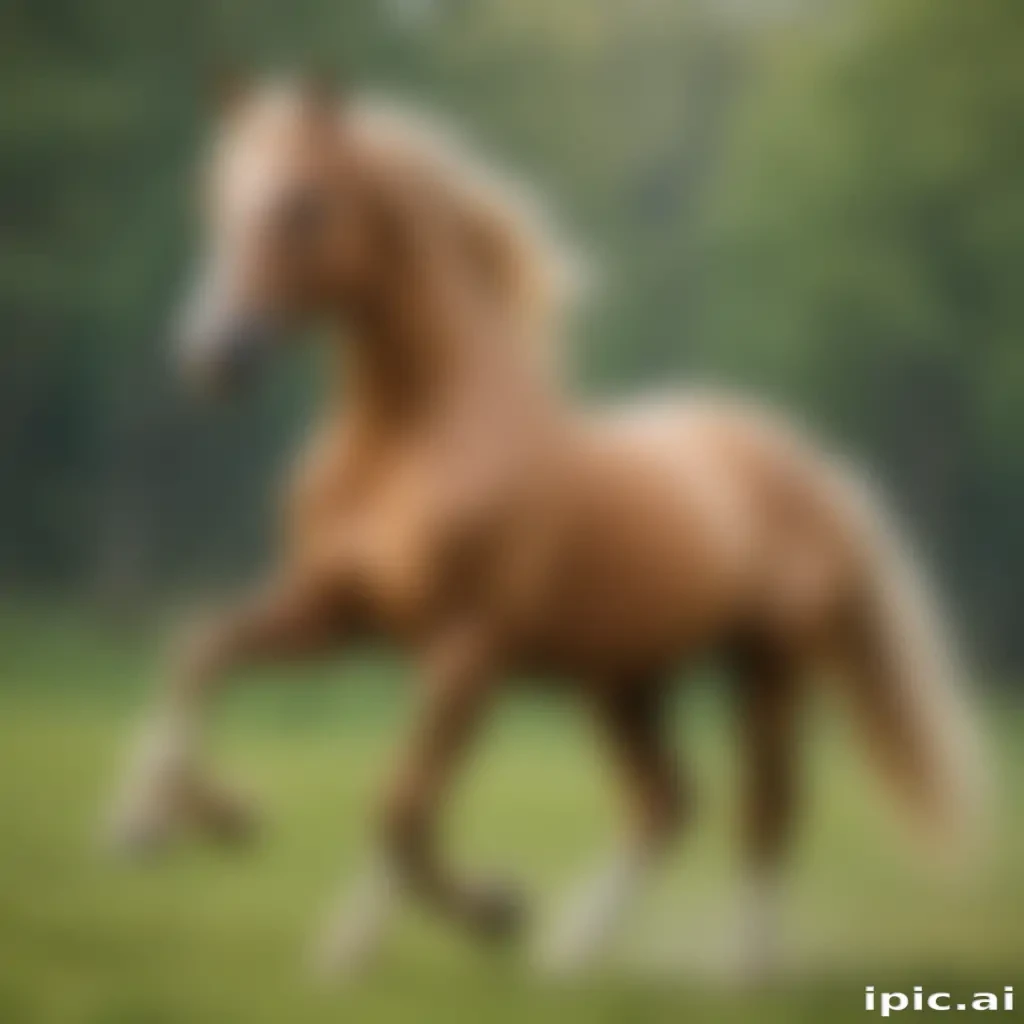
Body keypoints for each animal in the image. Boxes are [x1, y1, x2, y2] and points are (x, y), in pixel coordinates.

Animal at [107, 76, 983, 976]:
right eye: (214, 200)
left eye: (304, 204)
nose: (212, 357)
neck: (411, 440)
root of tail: (812, 467)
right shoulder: (332, 612)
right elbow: (200, 652)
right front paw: (171, 820)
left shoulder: (468, 650)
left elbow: (402, 807)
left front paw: (473, 915)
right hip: (624, 681)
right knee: (665, 805)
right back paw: (571, 953)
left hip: (767, 668)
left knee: (765, 812)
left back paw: (739, 970)